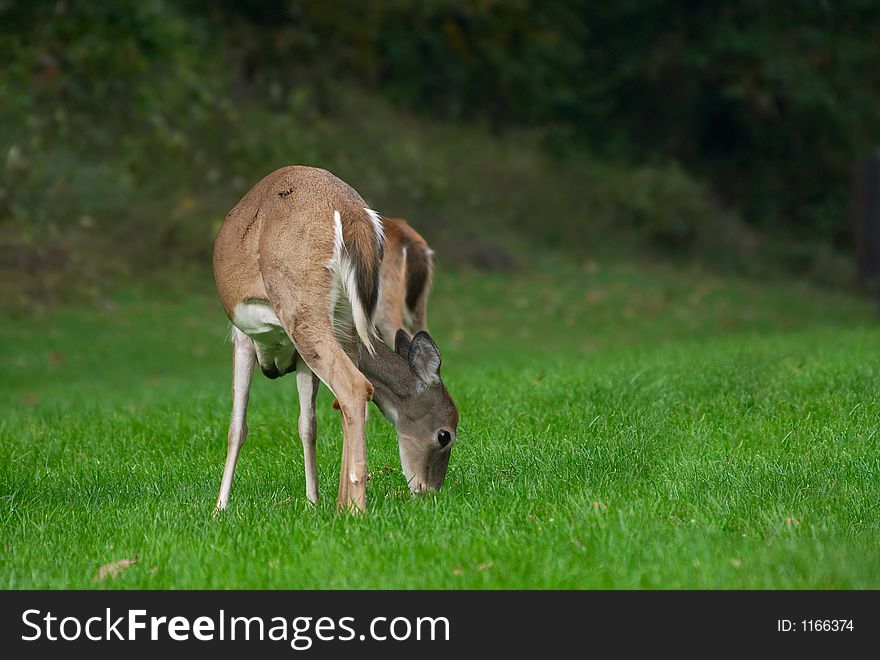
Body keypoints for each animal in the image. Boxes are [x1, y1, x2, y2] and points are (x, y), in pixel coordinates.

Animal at [213, 164, 460, 510]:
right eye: (444, 435)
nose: (430, 490)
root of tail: (352, 213)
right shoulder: (291, 353)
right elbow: (307, 425)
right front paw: (313, 501)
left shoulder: (243, 335)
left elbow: (237, 426)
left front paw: (219, 508)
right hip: (347, 321)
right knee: (352, 395)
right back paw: (343, 502)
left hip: (303, 307)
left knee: (354, 386)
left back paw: (355, 506)